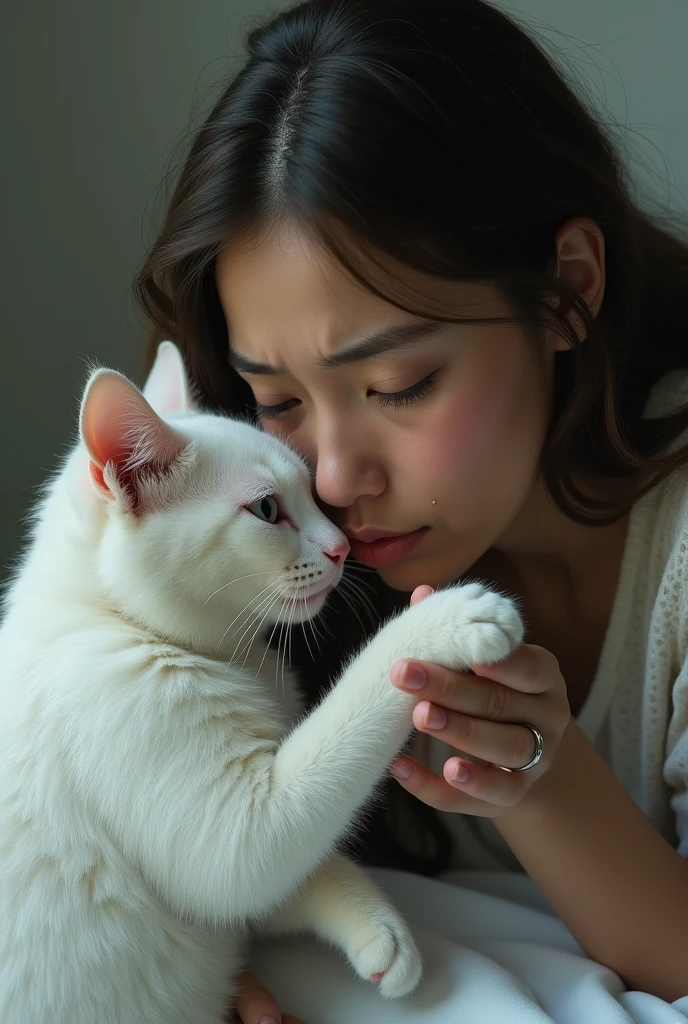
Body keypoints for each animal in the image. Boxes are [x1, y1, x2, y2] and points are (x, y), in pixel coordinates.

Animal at [0, 342, 524, 1024]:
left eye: (314, 496)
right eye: (268, 509)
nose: (341, 547)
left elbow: (294, 879)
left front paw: (380, 931)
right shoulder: (235, 831)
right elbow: (265, 858)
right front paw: (444, 622)